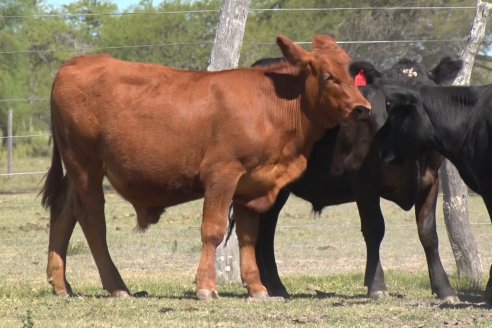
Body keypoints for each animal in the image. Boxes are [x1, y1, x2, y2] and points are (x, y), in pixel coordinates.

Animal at [42, 34, 368, 300]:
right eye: (328, 76)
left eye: (353, 75)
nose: (362, 108)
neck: (271, 105)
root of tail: (76, 63)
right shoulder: (222, 174)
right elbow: (213, 230)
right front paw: (206, 287)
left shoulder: (251, 183)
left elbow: (248, 236)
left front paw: (257, 288)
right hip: (85, 166)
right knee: (92, 220)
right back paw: (116, 286)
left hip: (76, 171)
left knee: (64, 214)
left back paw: (61, 285)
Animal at [248, 55, 464, 300]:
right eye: (388, 100)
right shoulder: (363, 180)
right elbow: (374, 229)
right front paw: (377, 286)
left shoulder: (430, 181)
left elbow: (428, 234)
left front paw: (444, 289)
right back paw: (272, 286)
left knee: (264, 231)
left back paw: (271, 286)